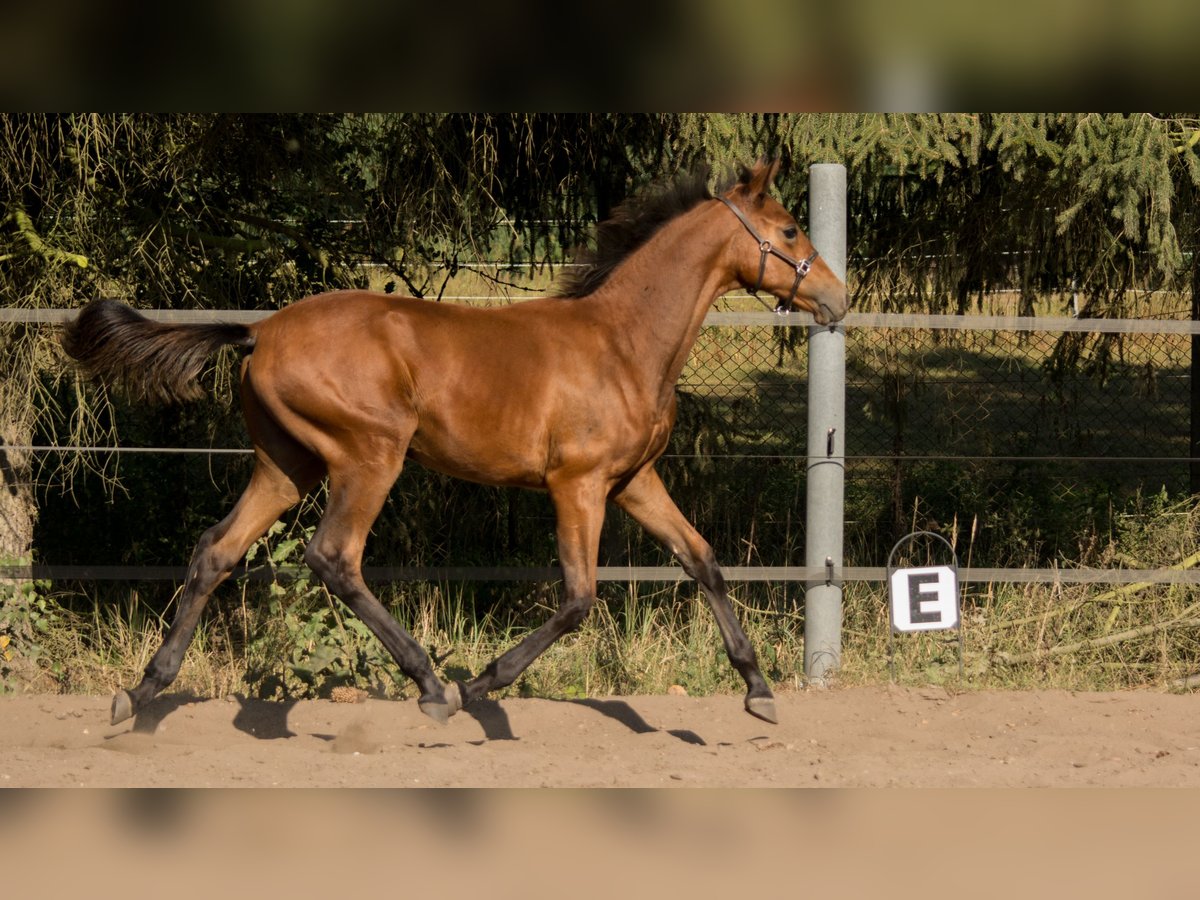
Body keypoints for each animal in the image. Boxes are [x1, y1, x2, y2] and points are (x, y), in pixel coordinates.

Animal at [63, 158, 854, 729]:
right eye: (788, 231)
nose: (838, 299)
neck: (622, 343)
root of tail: (259, 331)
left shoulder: (634, 481)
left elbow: (703, 561)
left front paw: (758, 689)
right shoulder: (578, 486)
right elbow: (578, 599)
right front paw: (480, 685)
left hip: (286, 465)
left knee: (216, 551)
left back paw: (141, 692)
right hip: (368, 457)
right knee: (334, 557)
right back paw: (431, 685)